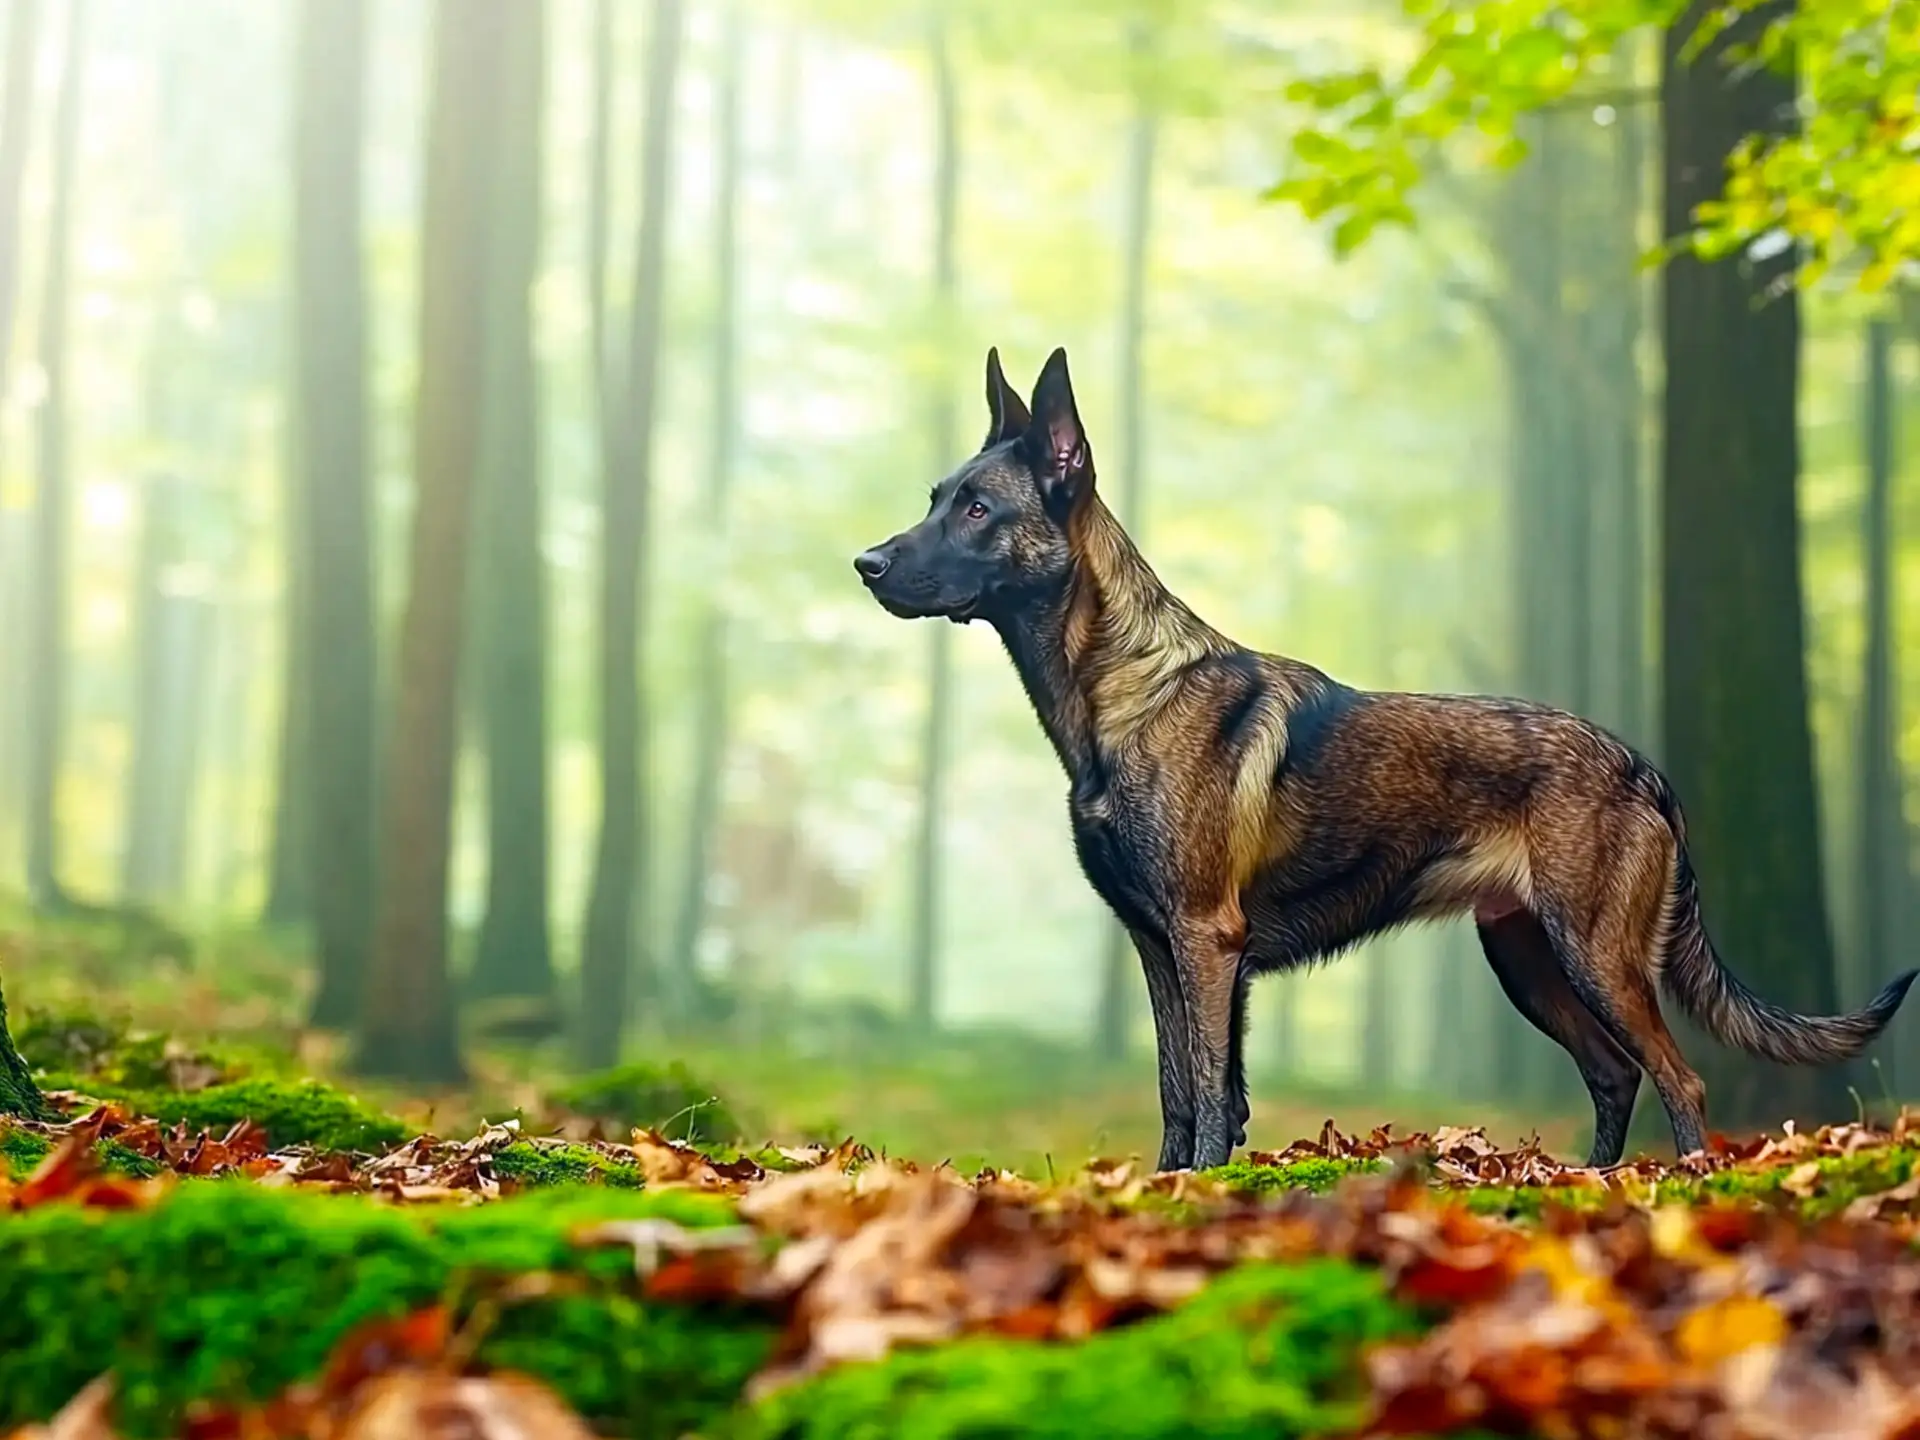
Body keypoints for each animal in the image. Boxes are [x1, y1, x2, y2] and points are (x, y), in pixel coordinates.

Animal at [860, 347, 1920, 1175]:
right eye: (935, 500)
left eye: (978, 510)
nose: (865, 565)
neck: (1124, 688)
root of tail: (1638, 763)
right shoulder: (1160, 949)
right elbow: (1182, 1092)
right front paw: (1166, 1190)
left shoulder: (1205, 941)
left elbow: (1206, 1094)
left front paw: (1198, 1189)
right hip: (1527, 959)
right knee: (1615, 1072)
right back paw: (1588, 1182)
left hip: (1596, 953)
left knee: (1681, 1077)